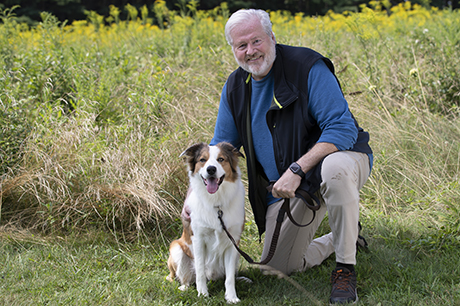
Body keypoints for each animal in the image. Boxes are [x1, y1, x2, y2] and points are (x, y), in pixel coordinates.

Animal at [167, 142, 246, 304]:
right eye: (202, 160)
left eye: (221, 159)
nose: (211, 169)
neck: (216, 202)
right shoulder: (198, 239)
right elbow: (200, 271)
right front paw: (203, 294)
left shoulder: (233, 242)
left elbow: (229, 277)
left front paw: (231, 297)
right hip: (176, 248)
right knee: (182, 278)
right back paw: (184, 287)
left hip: (237, 254)